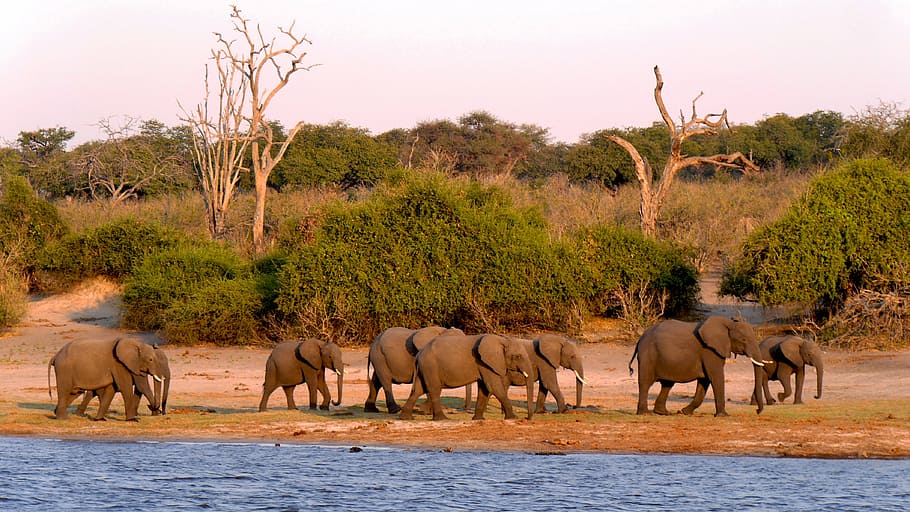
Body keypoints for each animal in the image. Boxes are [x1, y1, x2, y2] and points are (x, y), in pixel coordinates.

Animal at [399, 333, 534, 421]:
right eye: (517, 356)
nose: (527, 418)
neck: (500, 340)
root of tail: (419, 353)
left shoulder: (484, 364)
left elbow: (484, 389)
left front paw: (478, 419)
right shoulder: (484, 362)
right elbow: (494, 387)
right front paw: (513, 418)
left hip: (424, 368)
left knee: (417, 390)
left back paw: (406, 418)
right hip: (430, 366)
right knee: (434, 390)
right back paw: (442, 419)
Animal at [629, 316, 767, 417]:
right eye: (743, 340)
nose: (757, 411)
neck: (727, 322)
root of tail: (640, 338)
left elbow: (704, 381)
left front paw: (684, 412)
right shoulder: (709, 350)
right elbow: (716, 377)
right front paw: (723, 416)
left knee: (667, 384)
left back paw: (663, 413)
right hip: (648, 355)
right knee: (646, 382)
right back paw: (645, 414)